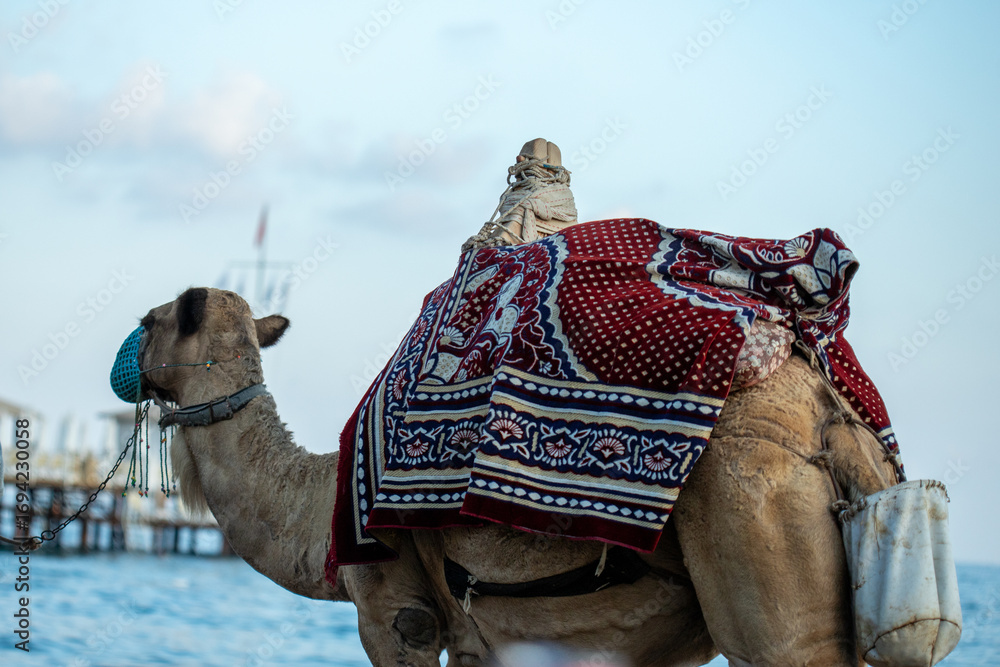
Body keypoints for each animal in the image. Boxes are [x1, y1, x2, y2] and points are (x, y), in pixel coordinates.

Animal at [134, 286, 901, 666]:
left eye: (152, 319)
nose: (127, 352)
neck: (318, 505)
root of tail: (830, 416)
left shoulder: (397, 616)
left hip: (752, 502)